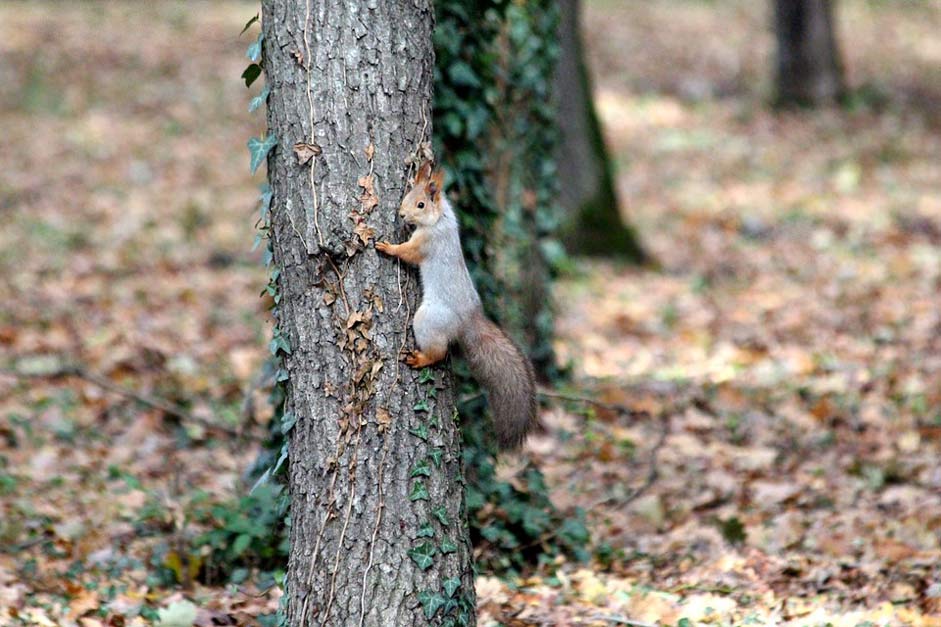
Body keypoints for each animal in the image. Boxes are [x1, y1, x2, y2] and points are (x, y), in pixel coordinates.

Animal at [376, 159, 536, 448]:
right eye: (408, 195)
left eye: (421, 205)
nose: (402, 215)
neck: (440, 219)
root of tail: (469, 320)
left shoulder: (426, 244)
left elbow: (407, 252)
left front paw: (387, 247)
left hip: (428, 320)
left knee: (439, 352)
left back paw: (420, 358)